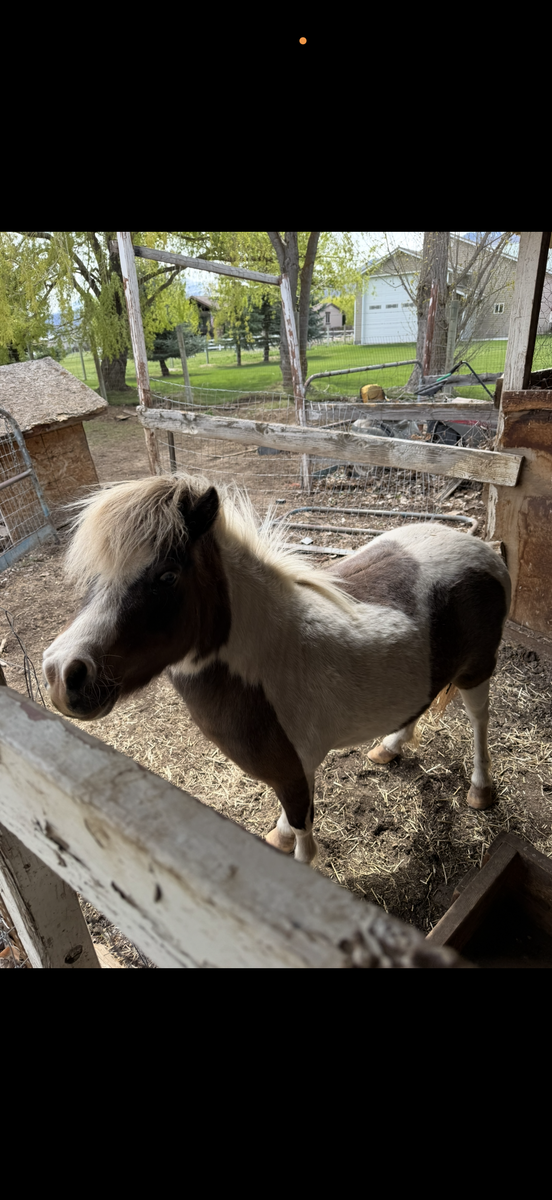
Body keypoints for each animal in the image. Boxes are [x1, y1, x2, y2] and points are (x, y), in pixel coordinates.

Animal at [43, 474, 511, 865]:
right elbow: (291, 822)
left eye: (167, 576)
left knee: (478, 719)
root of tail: (486, 549)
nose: (63, 674)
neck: (266, 663)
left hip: (477, 670)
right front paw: (280, 835)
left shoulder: (296, 772)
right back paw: (390, 746)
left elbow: (304, 842)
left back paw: (480, 789)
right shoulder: (291, 775)